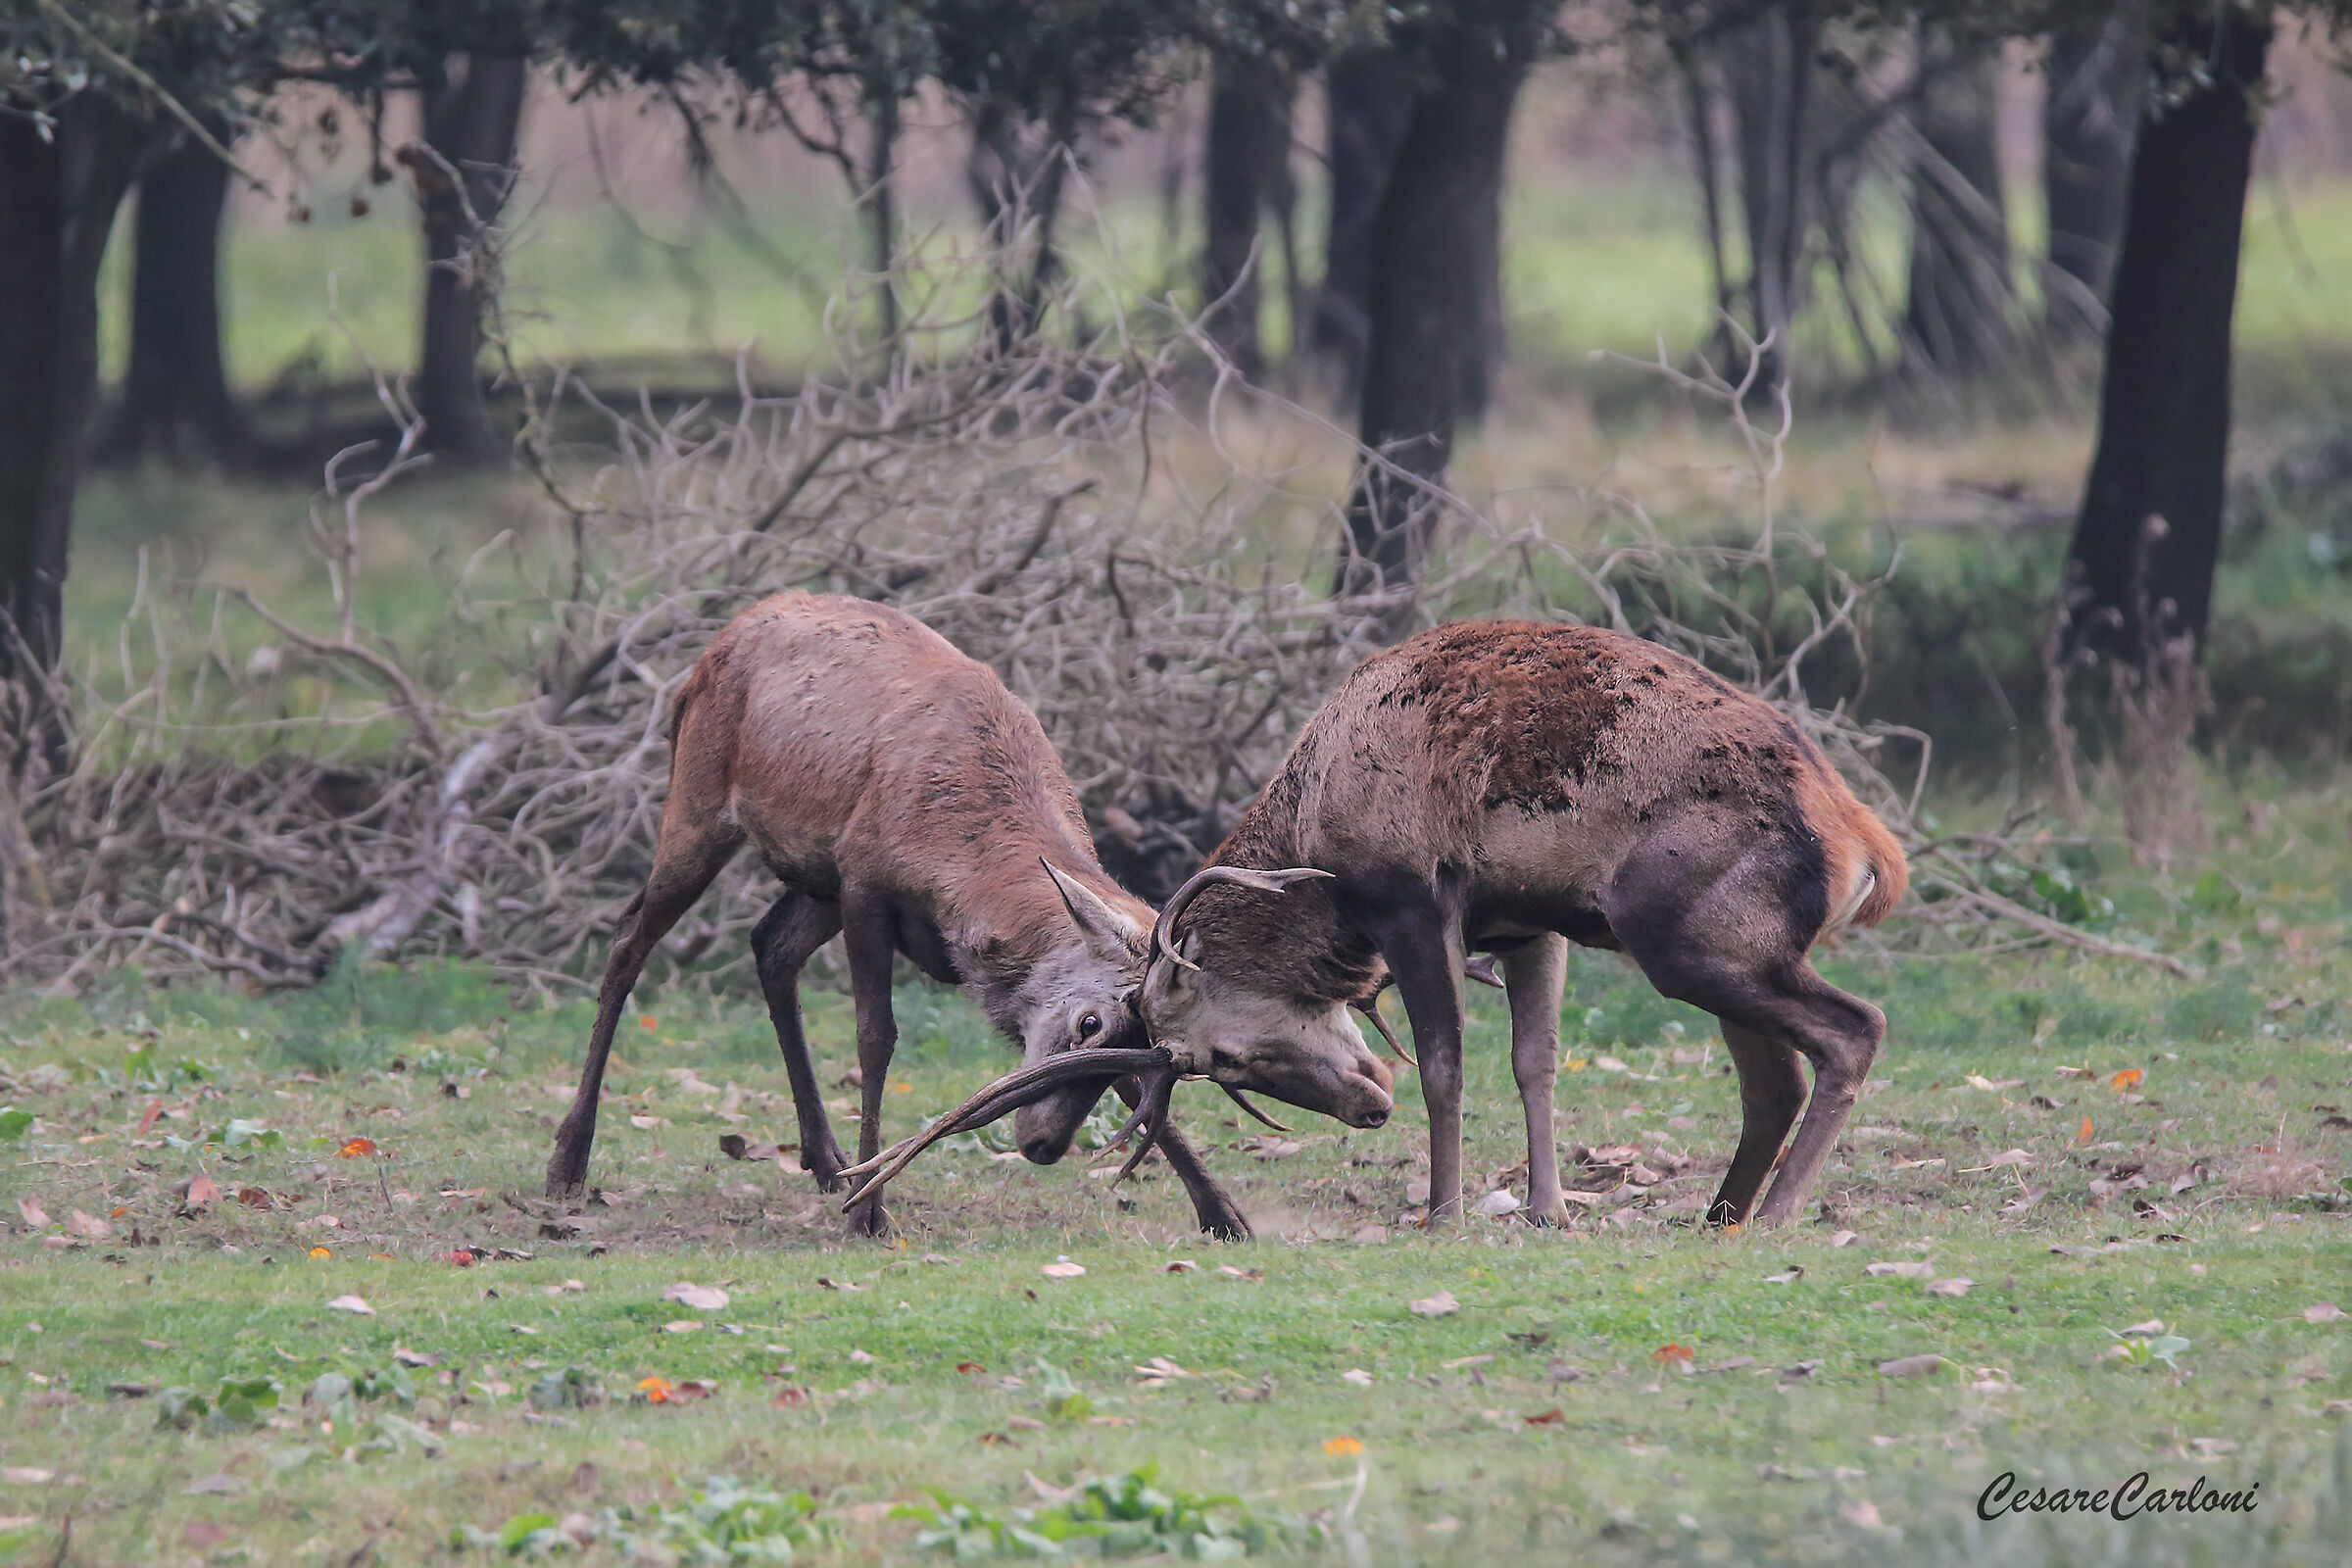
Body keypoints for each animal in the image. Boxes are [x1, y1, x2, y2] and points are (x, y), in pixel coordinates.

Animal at [544, 591, 1394, 1238]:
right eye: (1088, 1025)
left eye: (1138, 1044)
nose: (1044, 1145)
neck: (961, 859)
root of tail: (718, 641)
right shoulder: (864, 879)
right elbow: (876, 1036)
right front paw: (872, 1210)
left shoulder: (846, 880)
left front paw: (1222, 1213)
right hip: (699, 801)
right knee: (628, 938)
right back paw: (568, 1162)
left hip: (809, 880)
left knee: (769, 946)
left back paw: (825, 1161)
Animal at [845, 619, 1906, 1233]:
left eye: (1223, 1061)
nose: (1366, 1105)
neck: (1315, 834)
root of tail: (1869, 849)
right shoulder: (1531, 923)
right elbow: (1537, 1061)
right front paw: (1546, 1211)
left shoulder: (1411, 896)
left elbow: (1444, 1061)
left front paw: (1440, 1213)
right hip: (1703, 945)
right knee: (1773, 1075)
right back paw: (1719, 1213)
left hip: (1687, 937)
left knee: (1855, 1028)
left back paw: (1776, 1216)